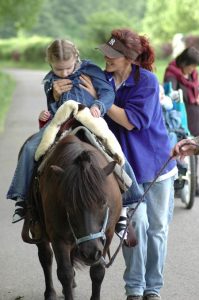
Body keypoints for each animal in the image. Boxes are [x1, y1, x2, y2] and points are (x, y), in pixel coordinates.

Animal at [24, 134, 122, 300]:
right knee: (46, 257)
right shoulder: (58, 238)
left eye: (103, 202)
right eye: (69, 204)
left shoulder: (107, 235)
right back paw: (50, 293)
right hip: (38, 230)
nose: (90, 252)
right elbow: (65, 273)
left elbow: (98, 272)